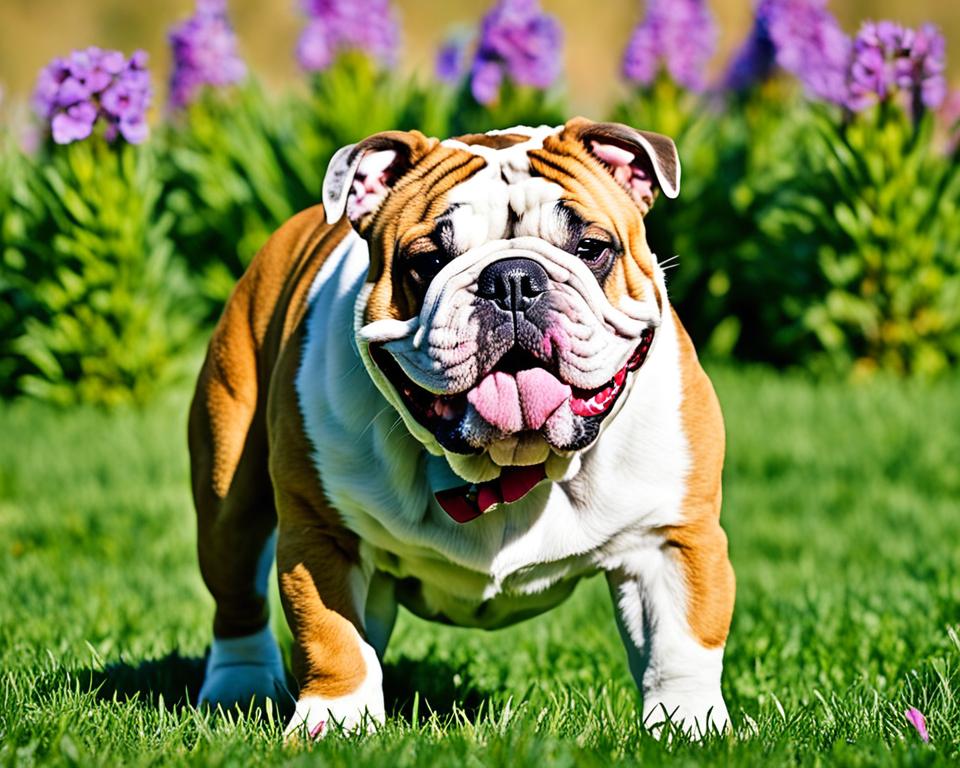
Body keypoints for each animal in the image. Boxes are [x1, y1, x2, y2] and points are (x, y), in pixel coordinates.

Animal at [191, 115, 740, 736]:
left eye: (591, 249)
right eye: (428, 262)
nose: (513, 280)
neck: (507, 464)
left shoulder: (670, 537)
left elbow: (681, 645)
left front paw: (690, 727)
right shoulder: (322, 533)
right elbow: (332, 636)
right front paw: (335, 721)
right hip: (229, 499)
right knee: (237, 599)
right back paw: (238, 686)